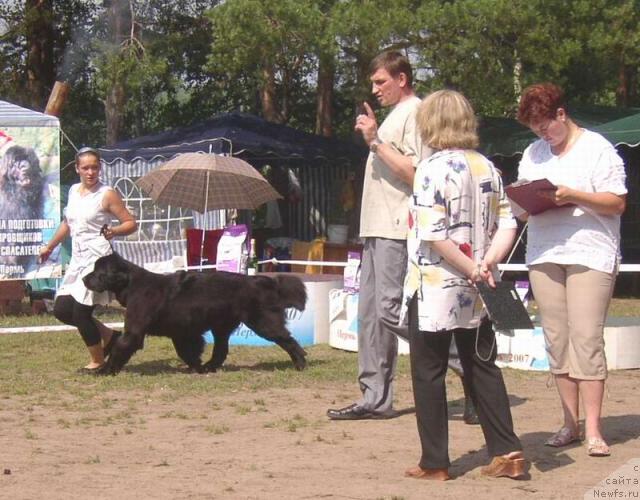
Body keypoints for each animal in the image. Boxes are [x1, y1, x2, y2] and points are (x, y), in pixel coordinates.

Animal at [82, 254, 308, 376]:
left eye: (98, 272)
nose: (84, 279)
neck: (132, 284)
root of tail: (262, 280)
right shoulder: (181, 332)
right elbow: (187, 351)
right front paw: (196, 367)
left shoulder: (134, 331)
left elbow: (120, 348)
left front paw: (104, 371)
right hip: (221, 326)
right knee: (221, 350)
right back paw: (209, 367)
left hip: (262, 322)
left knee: (287, 339)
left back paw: (301, 363)